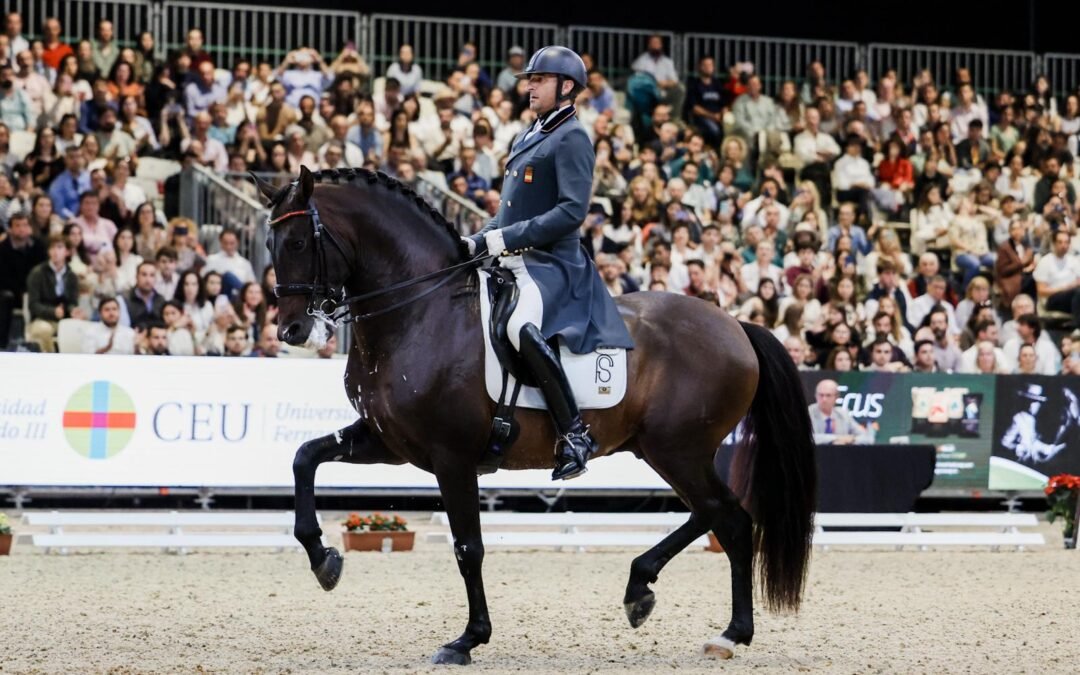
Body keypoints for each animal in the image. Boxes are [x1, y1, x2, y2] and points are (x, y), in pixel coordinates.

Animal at [254, 166, 816, 665]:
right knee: (715, 513)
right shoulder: (387, 442)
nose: (292, 332)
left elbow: (468, 547)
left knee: (732, 519)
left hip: (680, 448)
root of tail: (738, 326)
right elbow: (304, 458)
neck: (421, 309)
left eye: (299, 243)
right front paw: (324, 560)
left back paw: (727, 631)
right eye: (269, 245)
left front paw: (467, 640)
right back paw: (648, 591)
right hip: (666, 449)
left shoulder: (451, 456)